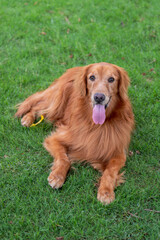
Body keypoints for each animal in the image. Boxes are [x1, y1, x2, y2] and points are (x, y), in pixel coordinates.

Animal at [15, 62, 134, 204]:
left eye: (111, 79)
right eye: (92, 77)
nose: (99, 97)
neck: (97, 125)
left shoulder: (118, 152)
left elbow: (110, 172)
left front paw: (106, 192)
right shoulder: (56, 138)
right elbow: (64, 159)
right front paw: (57, 176)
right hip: (57, 100)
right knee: (38, 106)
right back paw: (27, 118)